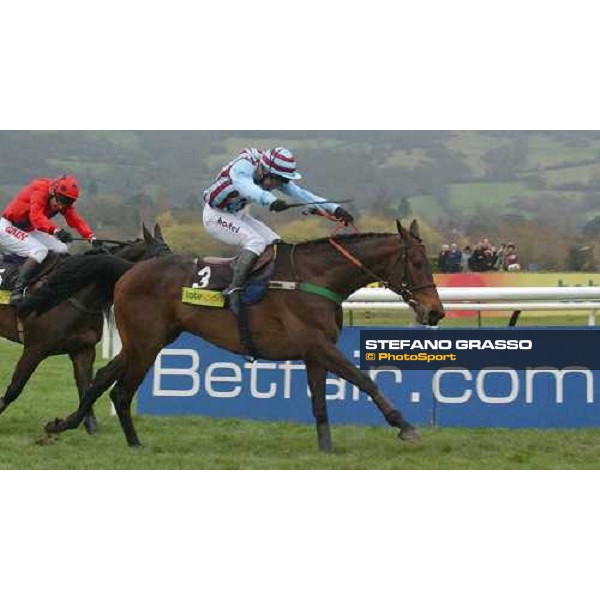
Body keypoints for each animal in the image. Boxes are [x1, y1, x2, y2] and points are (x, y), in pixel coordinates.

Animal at [24, 220, 446, 450]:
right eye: (417, 262)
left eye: (430, 261)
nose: (435, 311)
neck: (315, 278)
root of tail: (127, 270)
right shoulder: (319, 344)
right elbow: (364, 379)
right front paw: (405, 426)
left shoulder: (314, 351)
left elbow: (320, 403)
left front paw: (326, 448)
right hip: (146, 344)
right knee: (121, 392)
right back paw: (134, 444)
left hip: (147, 341)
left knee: (100, 380)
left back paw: (63, 424)